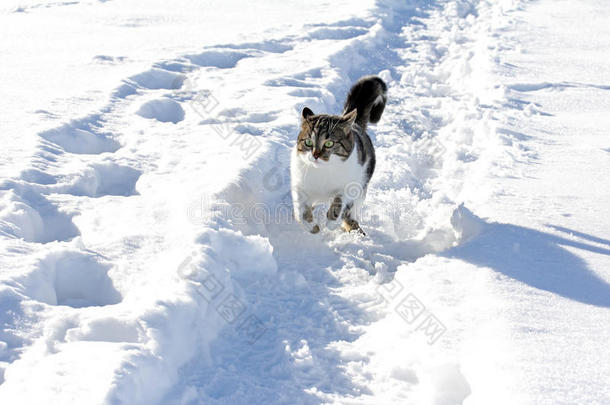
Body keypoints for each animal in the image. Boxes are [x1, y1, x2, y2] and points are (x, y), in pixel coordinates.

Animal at [288, 75, 384, 234]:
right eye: (308, 142)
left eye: (329, 143)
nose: (315, 155)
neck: (323, 171)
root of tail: (355, 124)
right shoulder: (299, 184)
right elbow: (301, 210)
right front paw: (311, 226)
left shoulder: (351, 184)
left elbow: (339, 202)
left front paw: (331, 222)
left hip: (362, 186)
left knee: (351, 211)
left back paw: (353, 226)